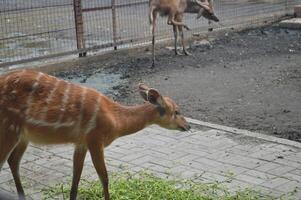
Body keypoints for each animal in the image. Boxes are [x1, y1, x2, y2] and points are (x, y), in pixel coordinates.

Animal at [0, 69, 190, 200]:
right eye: (176, 111)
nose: (187, 126)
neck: (115, 119)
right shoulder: (95, 139)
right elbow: (104, 177)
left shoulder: (81, 142)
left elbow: (76, 178)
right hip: (8, 127)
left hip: (23, 135)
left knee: (13, 160)